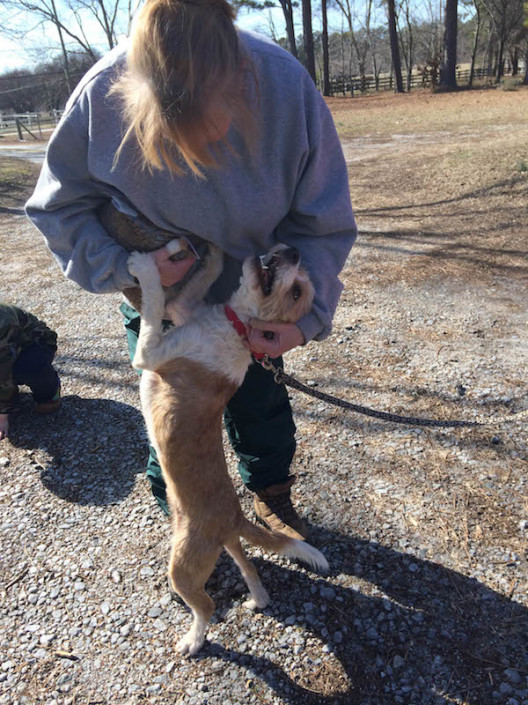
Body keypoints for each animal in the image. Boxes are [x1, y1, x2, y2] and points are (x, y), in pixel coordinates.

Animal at [128, 238, 328, 656]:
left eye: (297, 292)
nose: (294, 250)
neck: (235, 326)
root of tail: (233, 517)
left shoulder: (149, 352)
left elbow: (153, 300)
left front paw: (145, 268)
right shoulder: (183, 307)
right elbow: (200, 277)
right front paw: (209, 251)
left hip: (184, 566)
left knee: (205, 606)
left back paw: (193, 640)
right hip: (230, 544)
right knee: (249, 567)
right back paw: (258, 599)